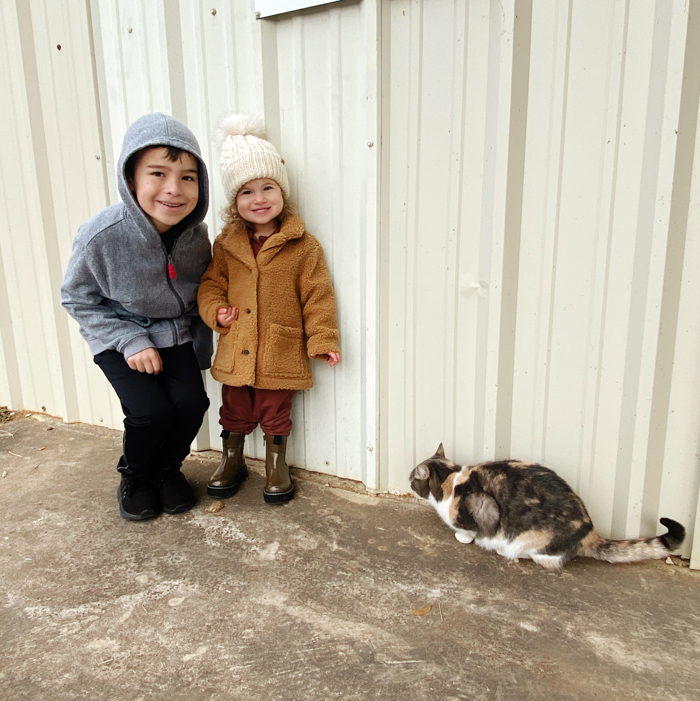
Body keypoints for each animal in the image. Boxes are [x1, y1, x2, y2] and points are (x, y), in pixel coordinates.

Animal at [410, 444, 685, 570]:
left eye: (413, 477)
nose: (407, 478)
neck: (450, 478)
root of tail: (589, 530)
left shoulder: (483, 504)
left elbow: (471, 529)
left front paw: (464, 536)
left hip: (532, 540)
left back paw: (505, 551)